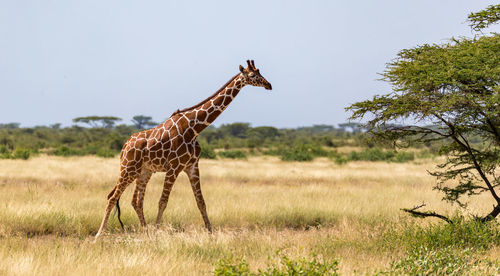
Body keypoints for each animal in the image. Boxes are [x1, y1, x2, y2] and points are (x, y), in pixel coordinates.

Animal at [95, 59, 272, 238]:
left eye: (260, 71)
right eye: (252, 75)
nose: (268, 85)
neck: (193, 128)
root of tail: (125, 146)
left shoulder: (192, 166)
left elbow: (201, 202)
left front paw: (210, 233)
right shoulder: (173, 167)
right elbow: (162, 202)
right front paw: (157, 232)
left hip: (144, 171)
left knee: (136, 201)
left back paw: (145, 232)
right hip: (128, 169)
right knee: (112, 197)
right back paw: (99, 235)